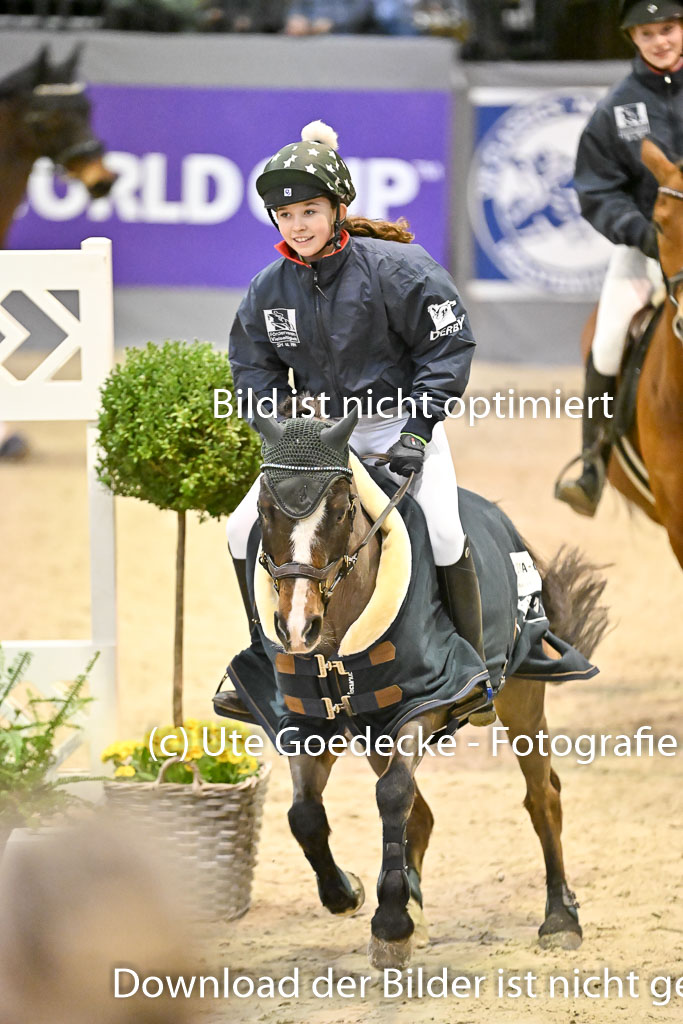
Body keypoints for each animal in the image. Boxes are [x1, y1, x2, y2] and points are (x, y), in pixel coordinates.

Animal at [228, 408, 607, 970]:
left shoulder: (420, 706)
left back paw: (560, 917)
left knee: (543, 798)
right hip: (371, 734)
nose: (297, 629)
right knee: (420, 816)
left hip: (519, 701)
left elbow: (393, 795)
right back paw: (418, 912)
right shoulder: (310, 721)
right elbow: (305, 815)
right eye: (264, 508)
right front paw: (350, 895)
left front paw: (390, 924)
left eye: (340, 511)